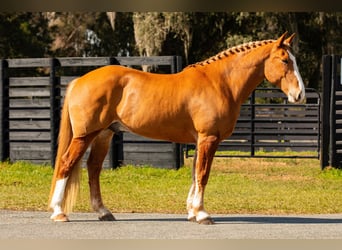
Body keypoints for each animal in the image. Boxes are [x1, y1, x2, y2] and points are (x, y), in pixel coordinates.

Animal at [47, 31, 304, 225]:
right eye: (284, 60)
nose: (299, 94)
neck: (220, 83)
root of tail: (79, 80)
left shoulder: (200, 141)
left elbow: (195, 174)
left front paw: (192, 212)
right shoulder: (208, 138)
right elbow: (203, 174)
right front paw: (202, 214)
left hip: (104, 134)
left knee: (93, 169)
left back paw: (103, 212)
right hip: (85, 135)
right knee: (66, 163)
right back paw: (59, 212)